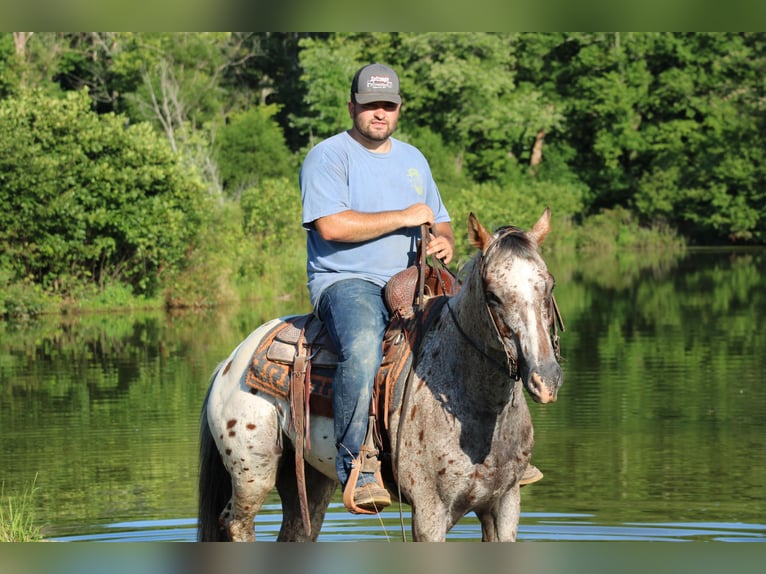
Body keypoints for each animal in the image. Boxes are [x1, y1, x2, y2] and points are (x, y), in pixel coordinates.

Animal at [198, 209, 564, 544]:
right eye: (492, 295)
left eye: (549, 285)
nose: (545, 378)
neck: (477, 407)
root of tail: (230, 362)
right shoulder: (429, 513)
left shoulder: (504, 504)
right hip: (252, 474)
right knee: (236, 523)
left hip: (310, 482)